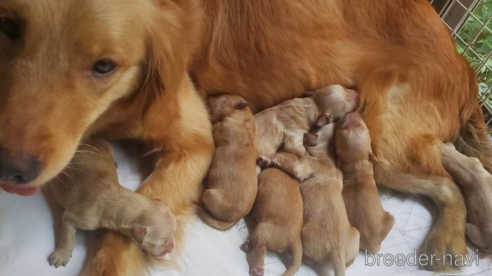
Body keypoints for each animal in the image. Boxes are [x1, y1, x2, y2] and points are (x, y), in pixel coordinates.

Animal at [43, 138, 176, 268]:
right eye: (162, 243)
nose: (171, 249)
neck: (117, 197)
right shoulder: (76, 217)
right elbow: (68, 237)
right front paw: (62, 254)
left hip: (106, 145)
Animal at [197, 95, 258, 231]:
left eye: (220, 97)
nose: (207, 98)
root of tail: (235, 219)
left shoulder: (220, 128)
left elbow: (214, 125)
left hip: (211, 194)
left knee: (204, 203)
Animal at [260, 124, 360, 276]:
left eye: (315, 129)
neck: (326, 154)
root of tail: (338, 253)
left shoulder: (302, 165)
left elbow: (286, 161)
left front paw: (268, 158)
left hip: (305, 234)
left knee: (311, 260)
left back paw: (307, 260)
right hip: (356, 234)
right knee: (350, 261)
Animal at [334, 112, 396, 254]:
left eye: (361, 125)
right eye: (342, 127)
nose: (351, 113)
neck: (356, 166)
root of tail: (373, 244)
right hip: (391, 218)